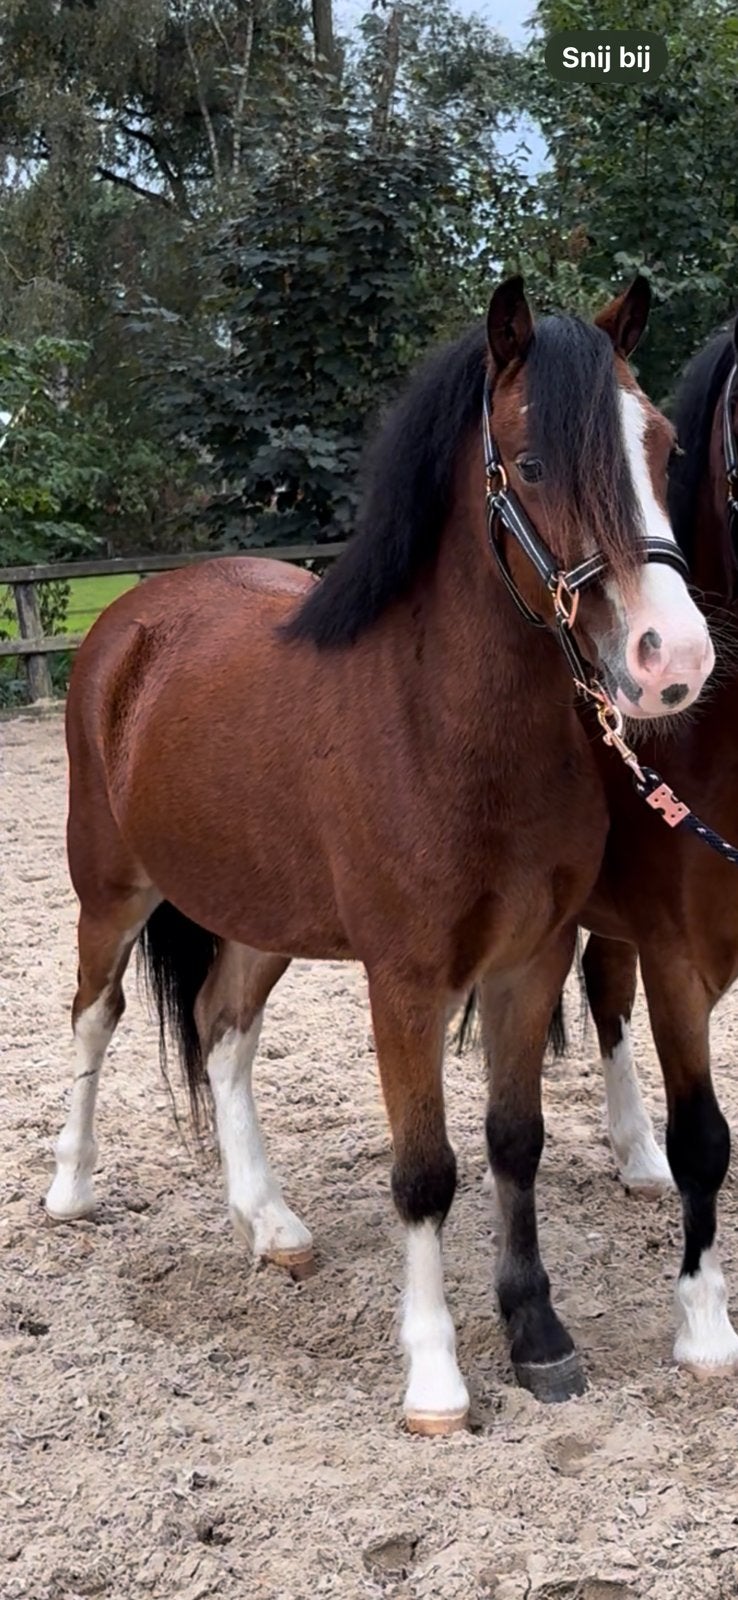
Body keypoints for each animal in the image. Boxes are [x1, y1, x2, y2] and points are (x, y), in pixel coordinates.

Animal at [45, 276, 712, 1435]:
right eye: (535, 463)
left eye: (663, 446)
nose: (672, 658)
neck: (444, 726)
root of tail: (130, 619)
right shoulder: (404, 978)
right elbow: (425, 1172)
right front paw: (436, 1379)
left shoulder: (530, 961)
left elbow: (513, 1142)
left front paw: (539, 1338)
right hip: (112, 890)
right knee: (97, 1016)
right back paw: (71, 1191)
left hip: (259, 914)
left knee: (222, 1031)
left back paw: (271, 1224)